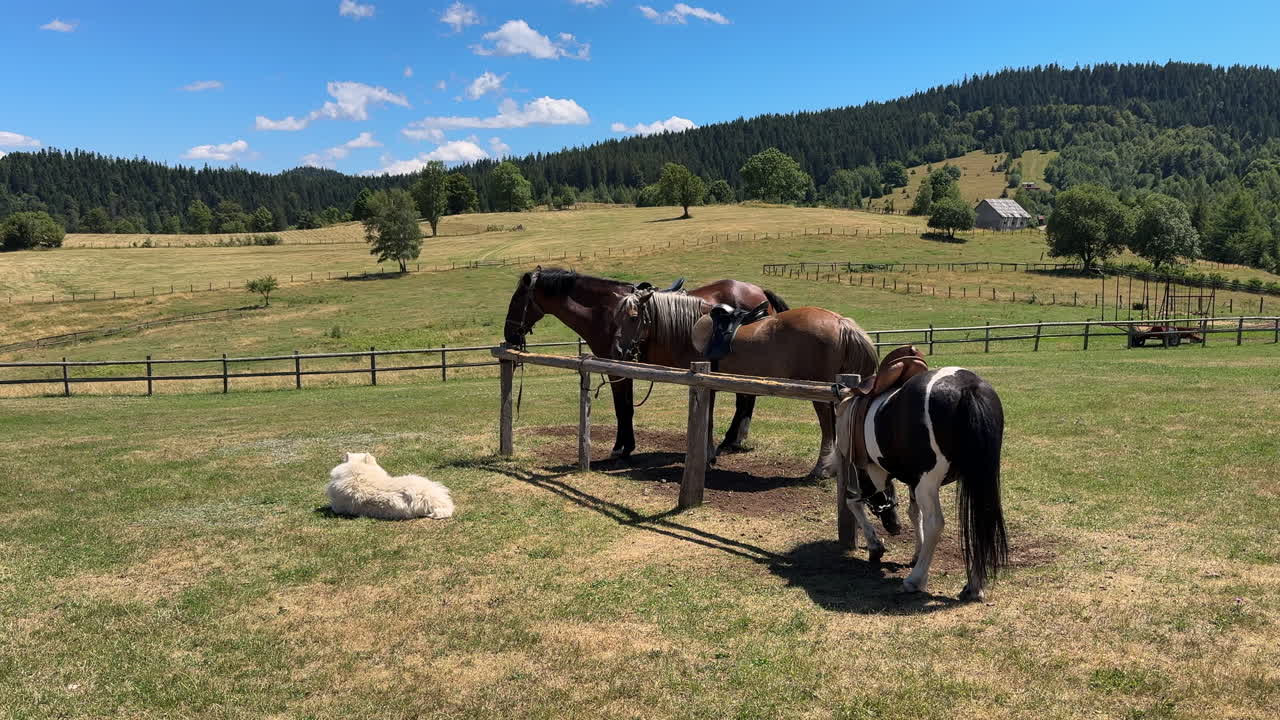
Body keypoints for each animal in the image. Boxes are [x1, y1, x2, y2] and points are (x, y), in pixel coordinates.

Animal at [502, 267, 790, 459]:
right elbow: (626, 407)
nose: (509, 334)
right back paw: (733, 441)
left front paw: (621, 447)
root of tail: (759, 292)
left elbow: (622, 409)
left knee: (745, 400)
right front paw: (626, 445)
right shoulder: (621, 367)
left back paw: (729, 441)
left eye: (516, 300)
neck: (606, 311)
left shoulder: (616, 368)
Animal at [611, 289, 878, 480]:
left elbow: (707, 421)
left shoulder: (703, 382)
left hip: (820, 394)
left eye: (633, 317)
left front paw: (706, 458)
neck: (689, 331)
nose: (618, 350)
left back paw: (821, 469)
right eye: (616, 316)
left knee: (827, 427)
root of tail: (841, 322)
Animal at [835, 365, 1008, 601]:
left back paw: (915, 580)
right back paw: (974, 585)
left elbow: (853, 502)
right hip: (976, 479)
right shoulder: (913, 481)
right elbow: (914, 513)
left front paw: (875, 546)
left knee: (935, 523)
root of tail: (968, 386)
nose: (894, 527)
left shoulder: (873, 476)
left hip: (929, 484)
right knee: (979, 521)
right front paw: (916, 553)